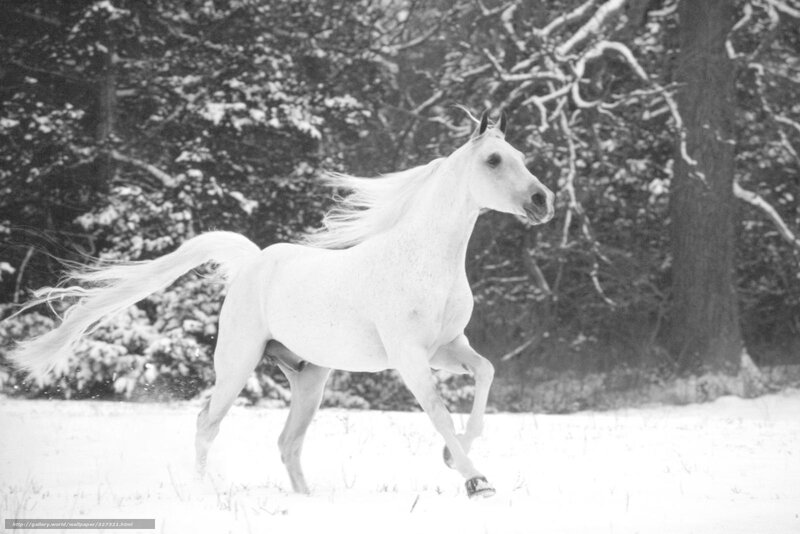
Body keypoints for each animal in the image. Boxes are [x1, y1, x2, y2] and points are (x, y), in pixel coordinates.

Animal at [8, 110, 554, 499]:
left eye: (521, 155)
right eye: (493, 160)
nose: (542, 200)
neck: (423, 261)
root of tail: (252, 261)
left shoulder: (447, 347)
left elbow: (485, 374)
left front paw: (450, 457)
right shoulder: (409, 357)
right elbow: (438, 411)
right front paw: (475, 481)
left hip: (310, 377)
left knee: (287, 443)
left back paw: (307, 501)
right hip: (237, 362)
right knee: (207, 423)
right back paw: (204, 492)